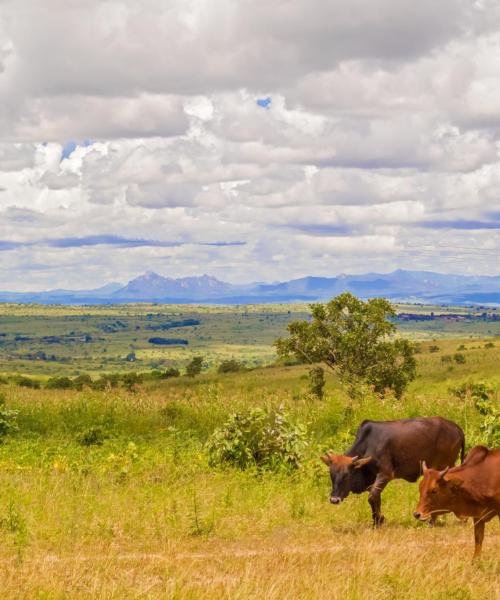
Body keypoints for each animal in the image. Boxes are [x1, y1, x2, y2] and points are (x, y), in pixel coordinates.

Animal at [320, 418, 464, 524]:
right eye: (331, 475)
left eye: (346, 475)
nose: (334, 500)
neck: (368, 444)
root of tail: (456, 427)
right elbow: (376, 498)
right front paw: (378, 521)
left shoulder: (385, 474)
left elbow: (372, 497)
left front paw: (379, 520)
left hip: (445, 466)